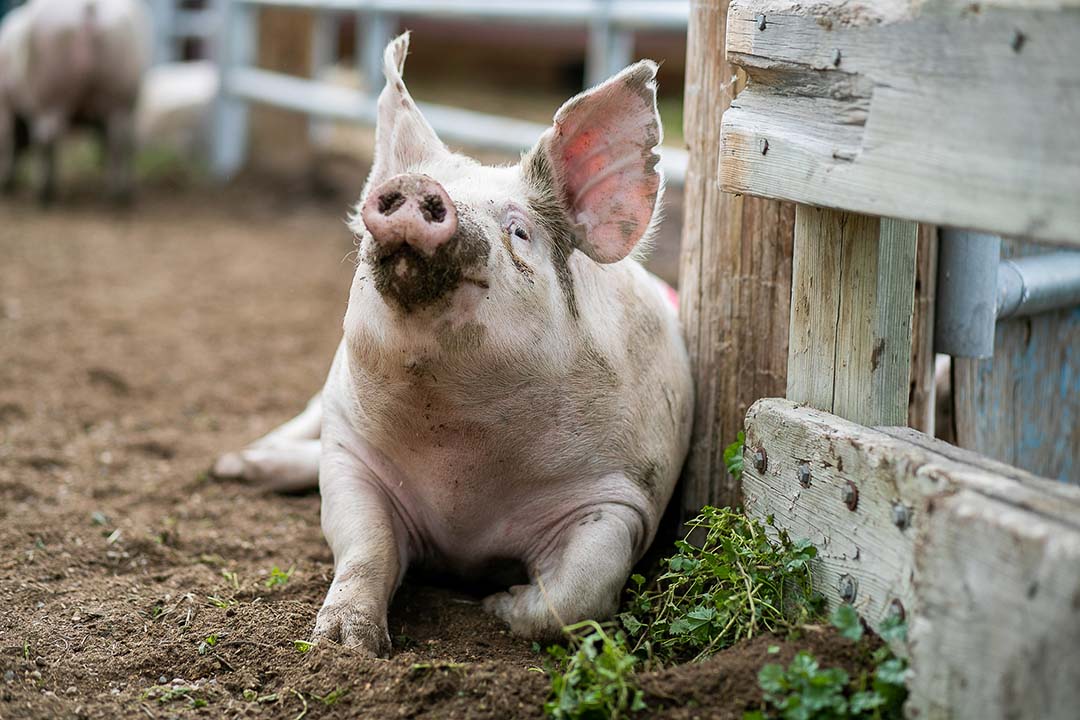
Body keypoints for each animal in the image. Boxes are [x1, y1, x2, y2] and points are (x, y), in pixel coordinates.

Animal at [0, 0, 150, 204]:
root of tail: (88, 8)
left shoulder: (5, 103)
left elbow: (6, 139)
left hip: (49, 97)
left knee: (45, 140)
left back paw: (44, 194)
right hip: (121, 97)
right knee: (119, 141)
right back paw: (119, 196)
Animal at [213, 33, 693, 657]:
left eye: (519, 230)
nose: (418, 186)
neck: (460, 455)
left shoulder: (620, 497)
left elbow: (578, 594)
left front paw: (496, 605)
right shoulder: (351, 458)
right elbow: (366, 548)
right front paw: (342, 643)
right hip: (327, 400)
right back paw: (230, 465)